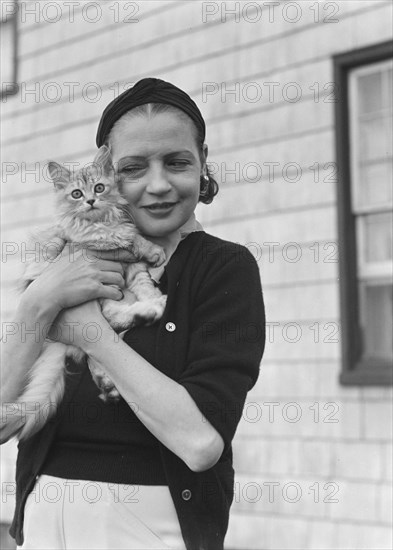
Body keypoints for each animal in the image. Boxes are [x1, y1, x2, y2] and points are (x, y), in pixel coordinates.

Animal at [0, 146, 165, 444]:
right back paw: (149, 312)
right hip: (96, 298)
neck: (101, 223)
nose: (90, 201)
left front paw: (153, 266)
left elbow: (142, 274)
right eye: (76, 194)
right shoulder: (92, 245)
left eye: (99, 188)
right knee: (109, 322)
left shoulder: (132, 266)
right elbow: (125, 241)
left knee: (102, 343)